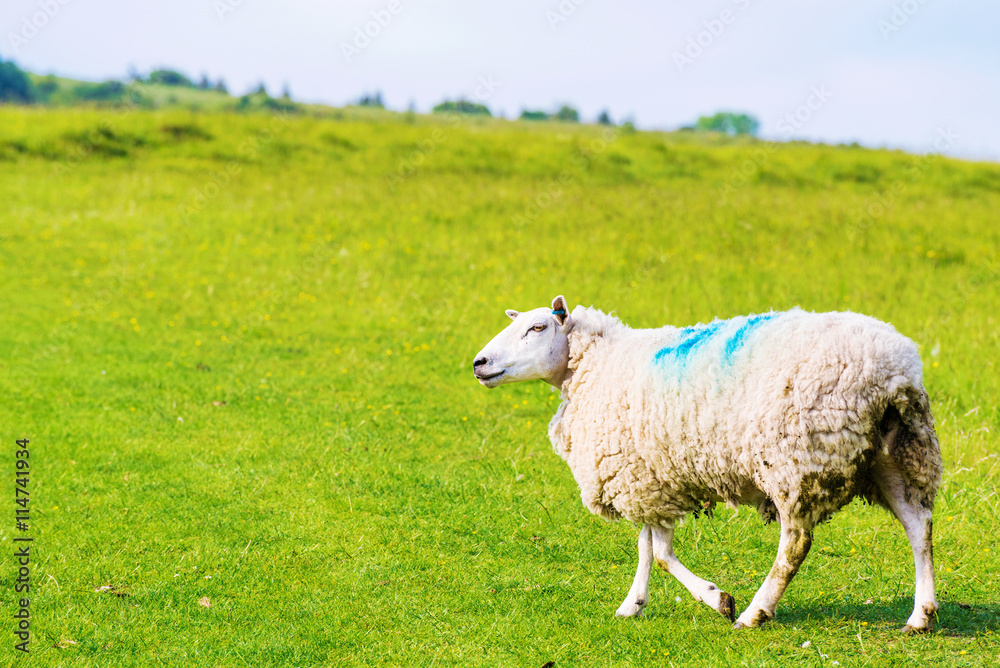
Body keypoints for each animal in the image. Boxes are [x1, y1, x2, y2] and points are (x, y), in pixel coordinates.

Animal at [472, 295, 942, 632]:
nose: (479, 363)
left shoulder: (644, 480)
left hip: (796, 459)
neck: (598, 365)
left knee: (795, 544)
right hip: (896, 455)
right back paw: (921, 615)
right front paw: (632, 605)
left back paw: (754, 613)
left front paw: (718, 599)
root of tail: (893, 372)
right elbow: (647, 548)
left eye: (537, 327)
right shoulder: (650, 477)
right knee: (918, 527)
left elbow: (661, 554)